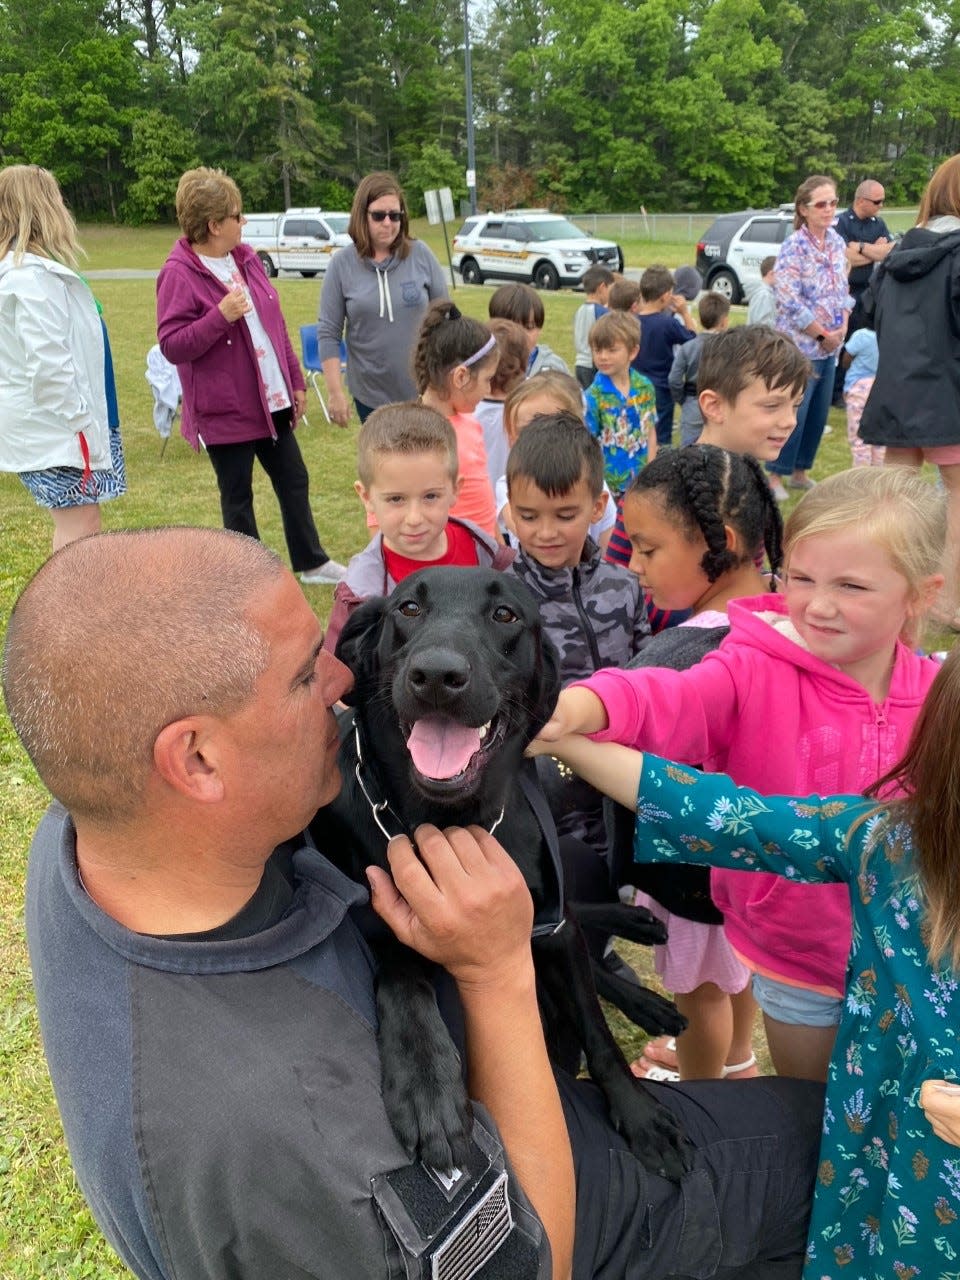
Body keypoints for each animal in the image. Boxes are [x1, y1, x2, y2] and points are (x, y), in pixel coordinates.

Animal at [316, 568, 691, 1177]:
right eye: (408, 608)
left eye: (506, 615)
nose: (437, 675)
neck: (448, 819)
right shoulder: (377, 918)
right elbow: (401, 970)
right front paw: (427, 1082)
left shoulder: (552, 931)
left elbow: (596, 1030)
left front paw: (640, 1115)